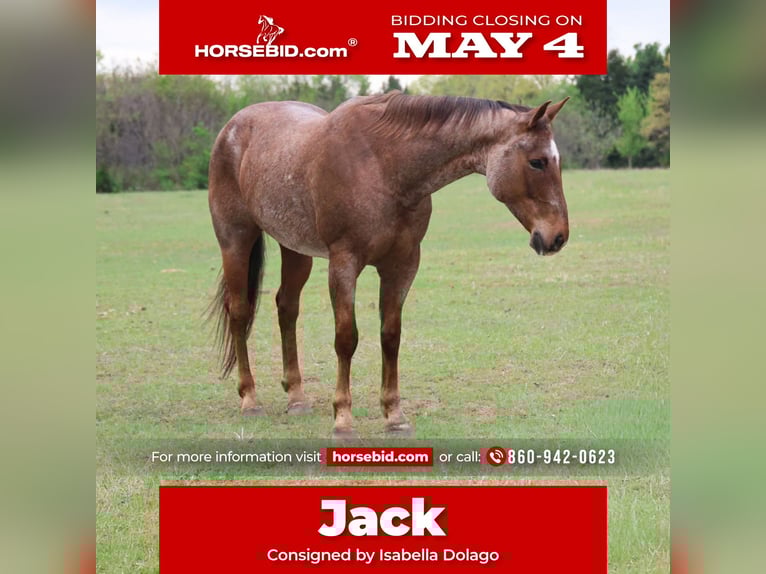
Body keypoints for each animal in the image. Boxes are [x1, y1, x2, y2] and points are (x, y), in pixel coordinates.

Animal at [208, 91, 570, 437]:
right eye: (537, 162)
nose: (558, 237)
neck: (383, 165)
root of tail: (232, 128)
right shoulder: (344, 263)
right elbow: (346, 338)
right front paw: (343, 418)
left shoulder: (402, 265)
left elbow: (391, 336)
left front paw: (394, 416)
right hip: (236, 240)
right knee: (239, 312)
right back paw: (250, 399)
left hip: (296, 249)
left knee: (287, 307)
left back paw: (296, 397)